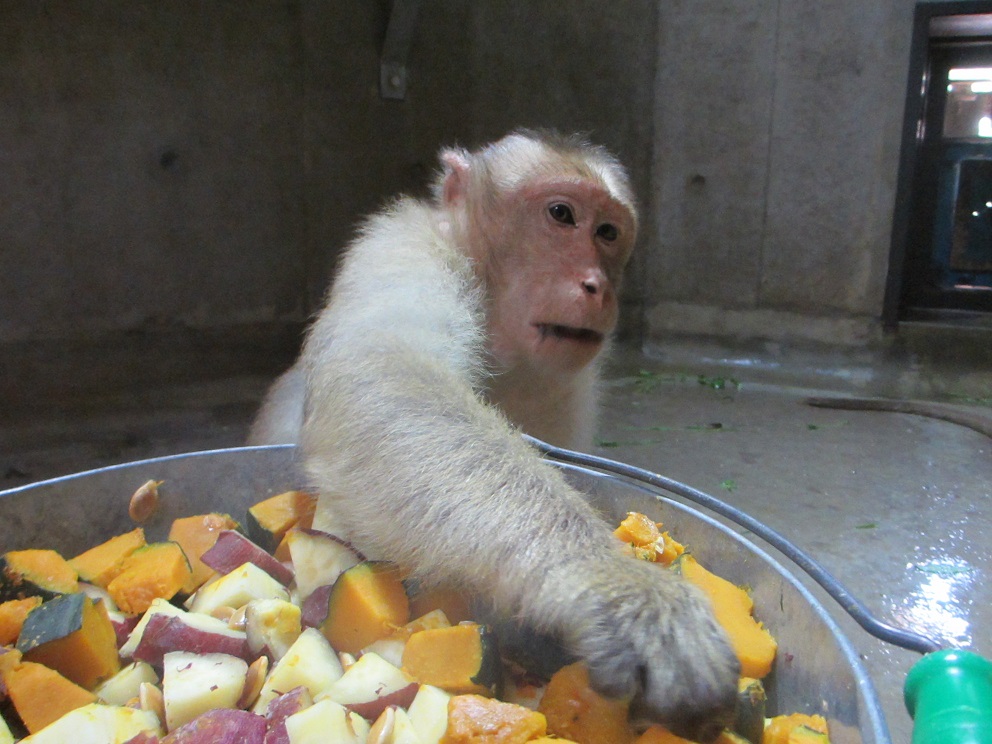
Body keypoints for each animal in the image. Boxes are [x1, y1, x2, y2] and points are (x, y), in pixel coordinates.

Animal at [252, 131, 740, 740]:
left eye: (608, 232)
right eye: (561, 215)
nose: (597, 286)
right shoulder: (400, 250)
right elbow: (384, 374)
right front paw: (621, 587)